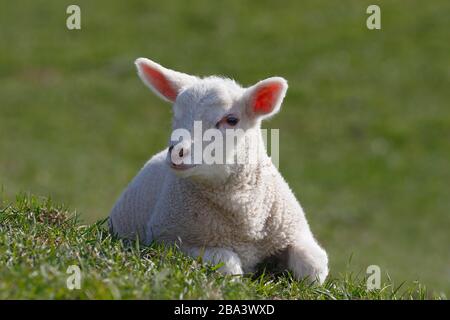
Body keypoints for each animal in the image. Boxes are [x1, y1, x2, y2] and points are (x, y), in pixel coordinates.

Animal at [108, 57, 326, 282]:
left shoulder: (295, 232)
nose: (178, 152)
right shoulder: (168, 240)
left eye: (231, 120)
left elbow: (313, 266)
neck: (244, 219)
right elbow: (228, 263)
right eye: (175, 115)